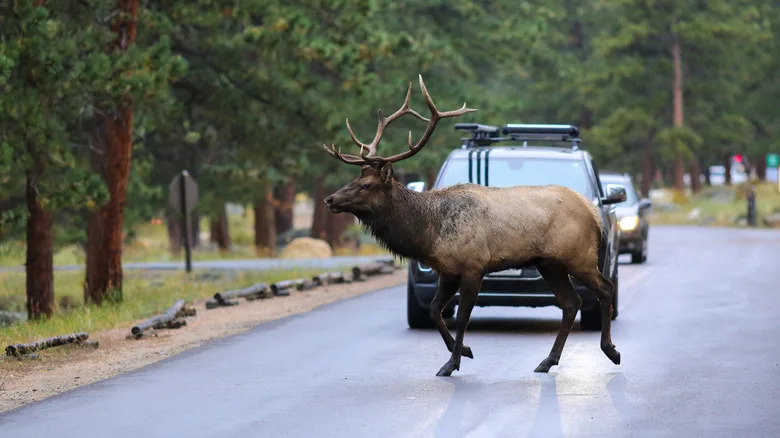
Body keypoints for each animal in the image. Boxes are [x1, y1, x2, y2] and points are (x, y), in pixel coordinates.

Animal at [322, 75, 620, 376]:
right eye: (353, 179)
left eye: (366, 185)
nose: (330, 199)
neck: (429, 232)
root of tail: (593, 212)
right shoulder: (447, 271)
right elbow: (434, 310)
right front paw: (464, 350)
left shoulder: (473, 267)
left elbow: (464, 316)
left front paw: (452, 363)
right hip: (550, 263)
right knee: (571, 303)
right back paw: (547, 361)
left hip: (579, 257)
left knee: (605, 288)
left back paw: (611, 351)